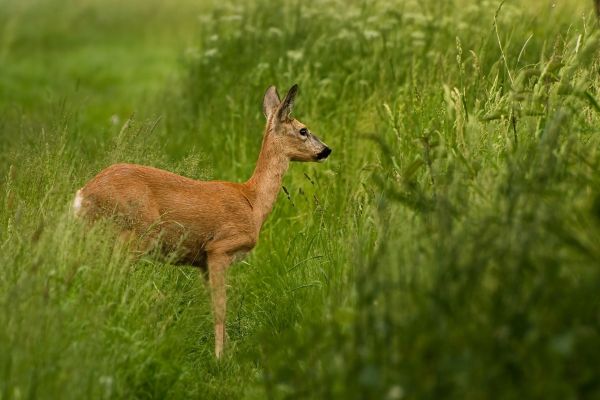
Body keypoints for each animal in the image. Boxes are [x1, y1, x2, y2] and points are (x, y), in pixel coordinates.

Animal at [73, 85, 332, 360]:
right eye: (303, 130)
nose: (327, 150)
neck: (253, 202)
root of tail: (82, 195)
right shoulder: (220, 248)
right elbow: (220, 307)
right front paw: (219, 358)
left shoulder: (202, 263)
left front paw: (229, 351)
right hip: (132, 235)